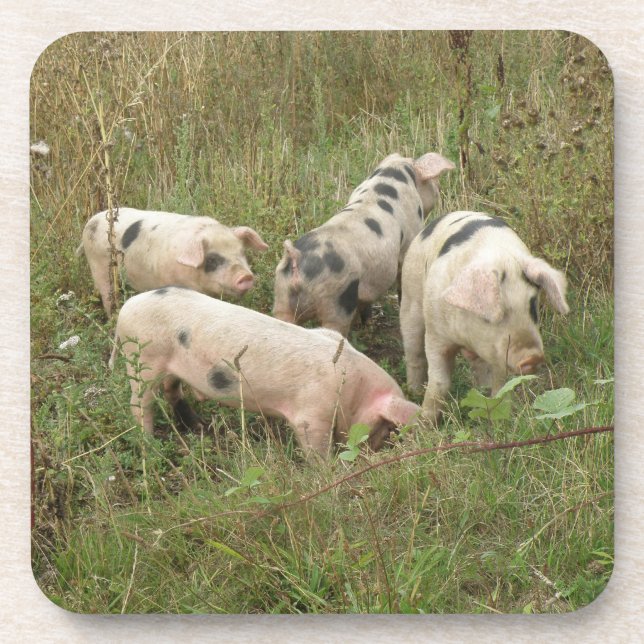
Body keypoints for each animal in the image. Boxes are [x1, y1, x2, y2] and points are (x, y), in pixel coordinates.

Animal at [110, 286, 421, 459]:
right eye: (385, 427)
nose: (371, 453)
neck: (353, 390)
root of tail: (126, 307)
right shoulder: (312, 415)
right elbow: (316, 449)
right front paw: (327, 471)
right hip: (143, 361)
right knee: (139, 404)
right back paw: (150, 444)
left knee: (171, 390)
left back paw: (198, 426)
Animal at [399, 211, 569, 424]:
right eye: (493, 314)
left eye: (532, 306)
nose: (533, 357)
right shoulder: (436, 334)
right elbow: (439, 381)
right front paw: (425, 422)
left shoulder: (497, 351)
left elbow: (500, 385)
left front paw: (499, 419)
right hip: (410, 296)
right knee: (413, 351)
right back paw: (413, 391)